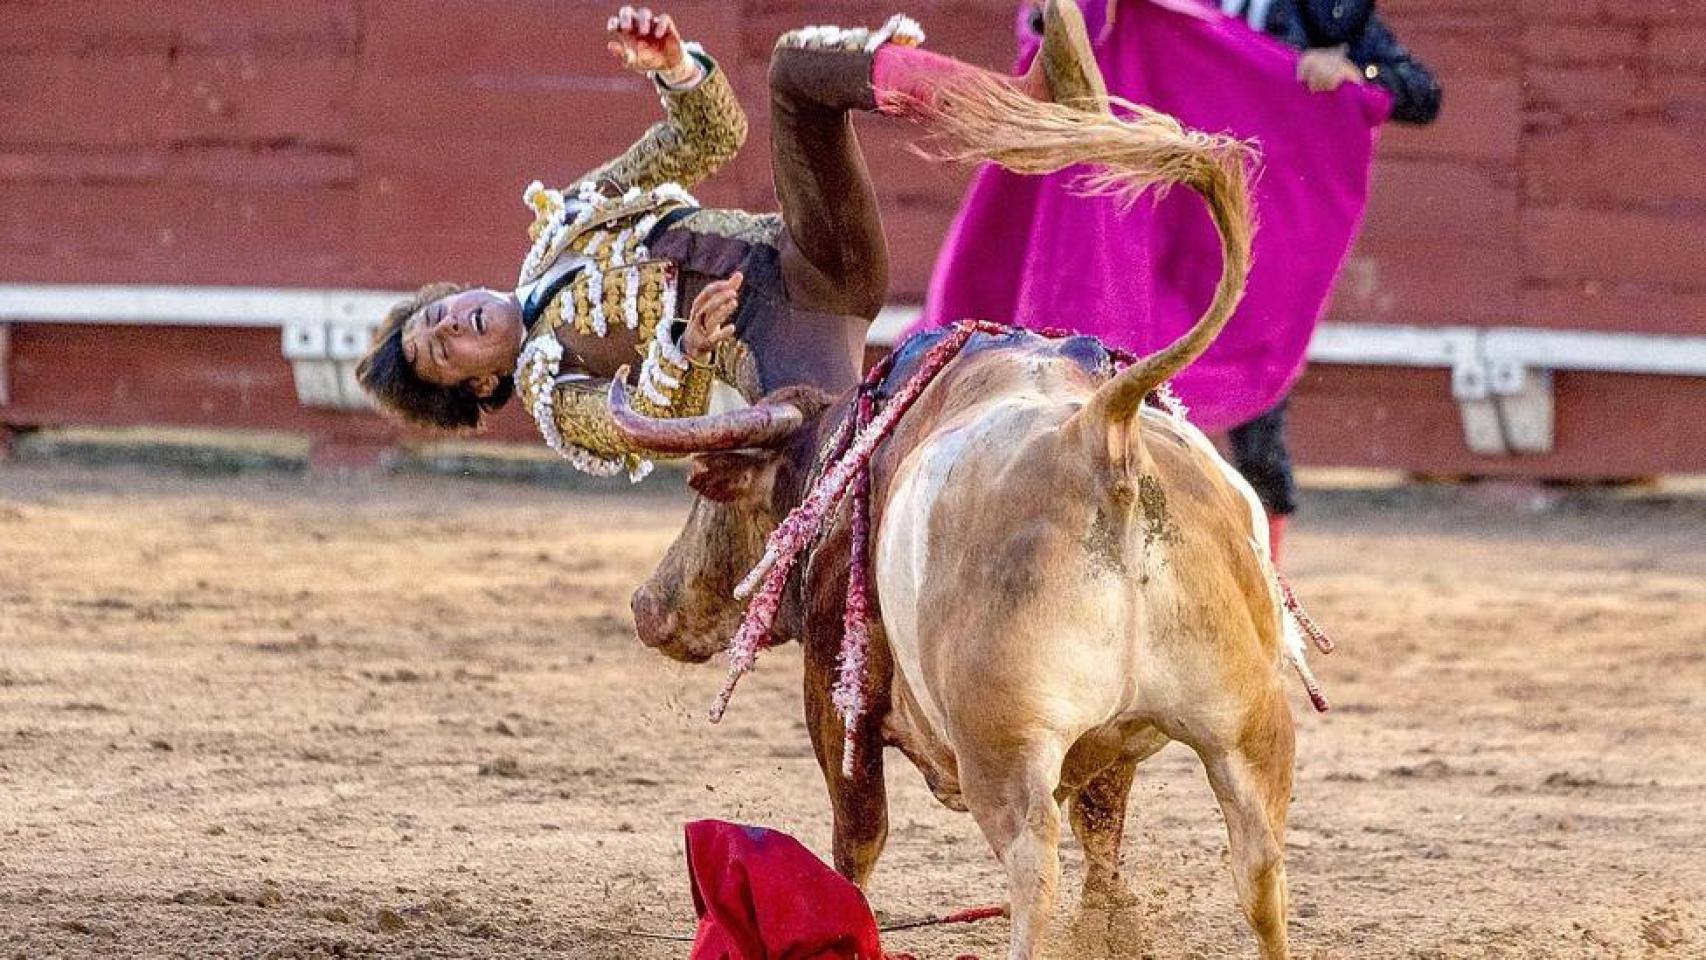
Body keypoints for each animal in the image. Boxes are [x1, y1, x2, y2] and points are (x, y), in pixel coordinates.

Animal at [620, 84, 1296, 960]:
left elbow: (856, 839)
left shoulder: (838, 696)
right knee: (1260, 869)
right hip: (1249, 731)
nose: (648, 607)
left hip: (1004, 746)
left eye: (711, 494)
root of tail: (1101, 432)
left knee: (1033, 866)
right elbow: (1107, 842)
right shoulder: (1116, 745)